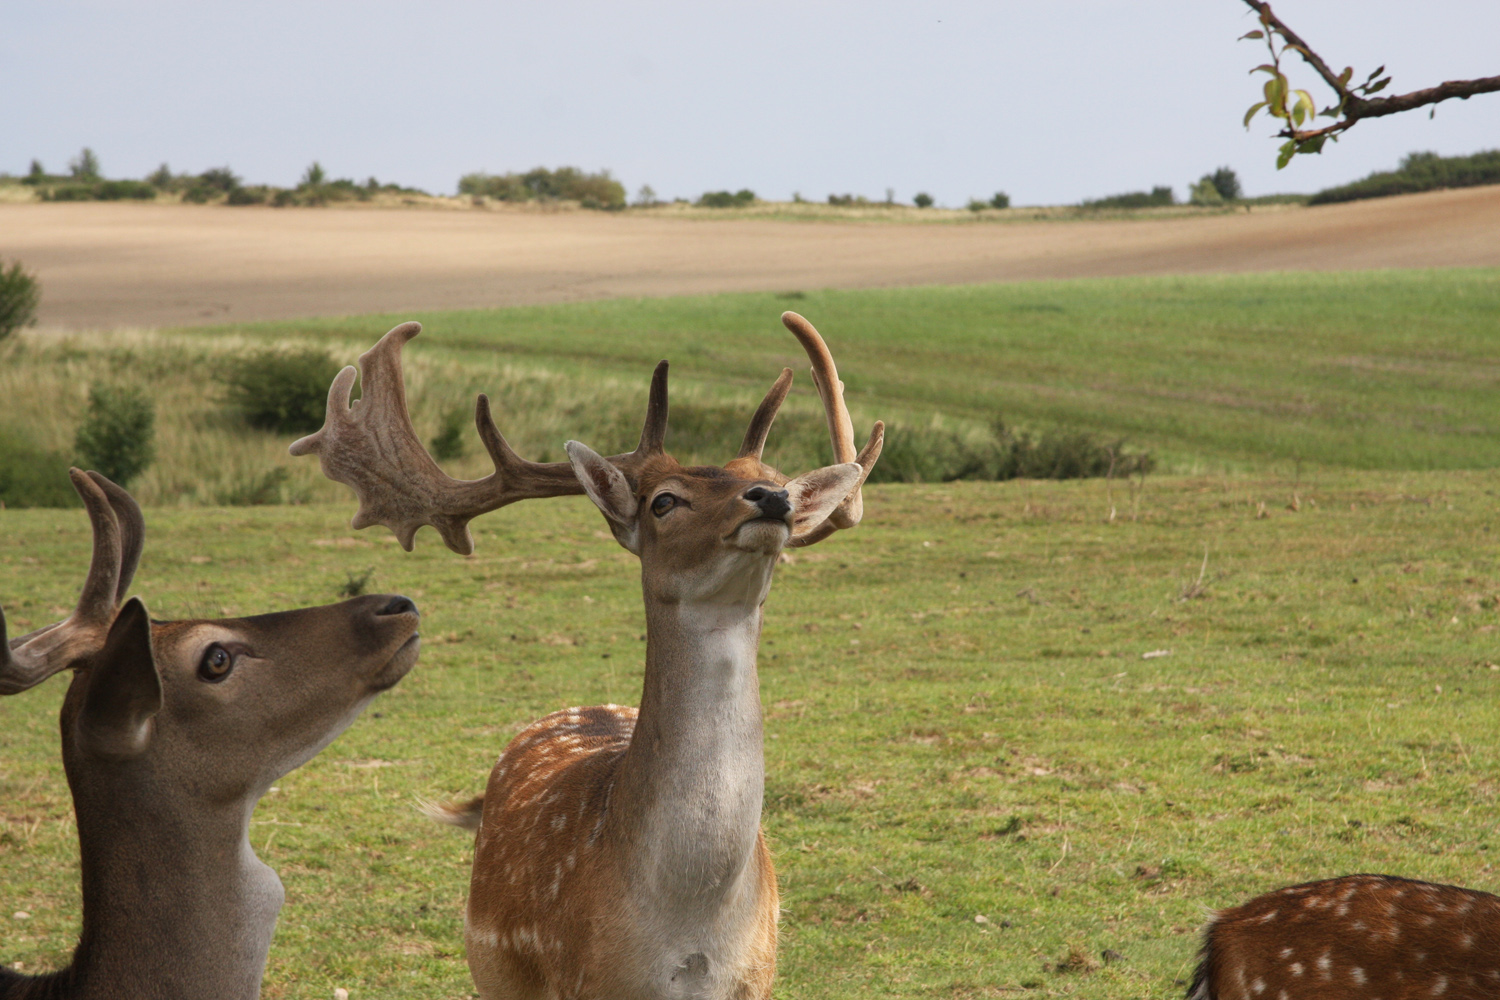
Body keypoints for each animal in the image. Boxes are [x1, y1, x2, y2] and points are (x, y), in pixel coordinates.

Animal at [291, 313, 876, 1000]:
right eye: (664, 500)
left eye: (781, 480)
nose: (773, 499)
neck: (691, 935)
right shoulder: (586, 982)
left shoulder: (759, 980)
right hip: (495, 973)